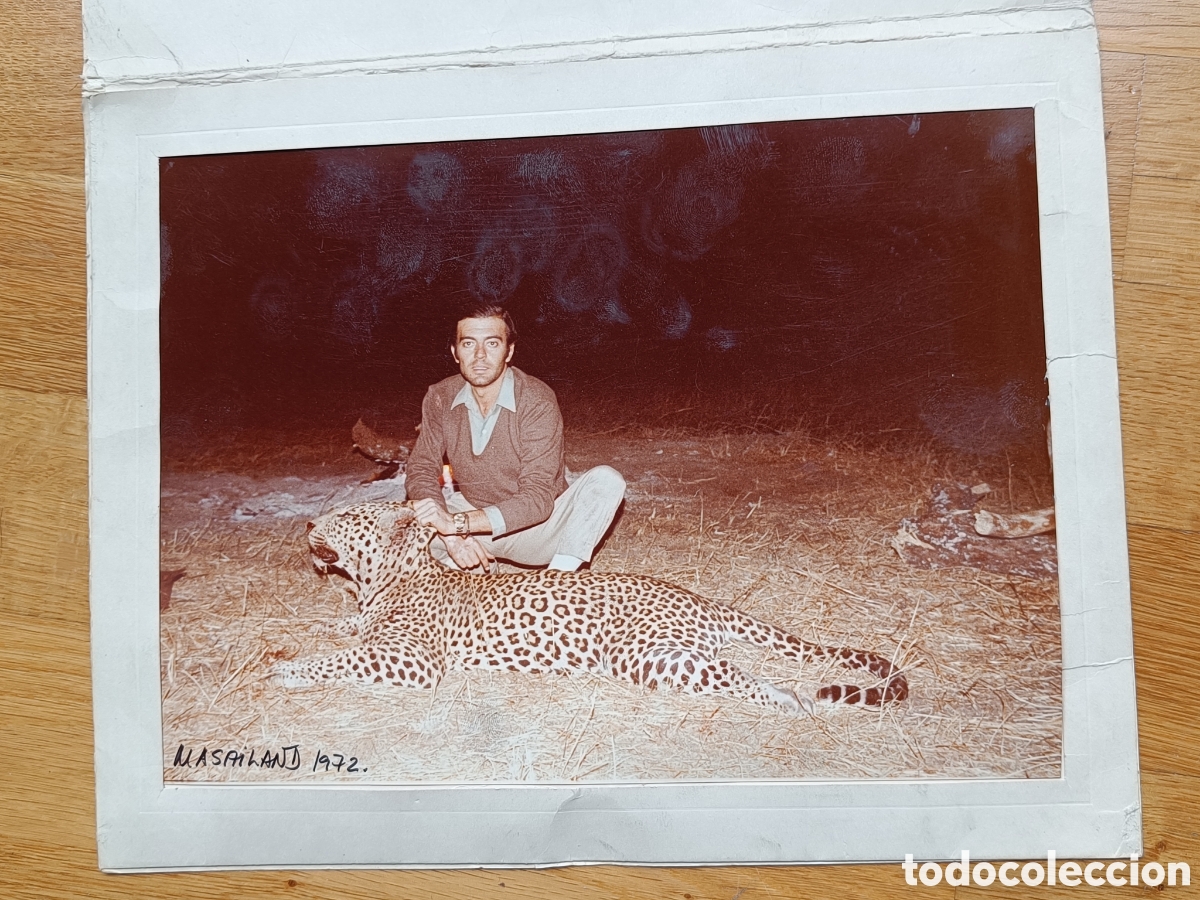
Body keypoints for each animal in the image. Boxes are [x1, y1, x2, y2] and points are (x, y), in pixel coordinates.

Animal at [271, 501, 908, 714]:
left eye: (343, 516)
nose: (307, 524)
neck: (384, 579)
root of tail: (698, 597)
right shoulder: (367, 621)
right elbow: (344, 628)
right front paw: (300, 635)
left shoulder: (413, 660)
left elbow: (343, 659)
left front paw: (288, 670)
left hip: (644, 654)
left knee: (740, 674)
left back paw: (791, 700)